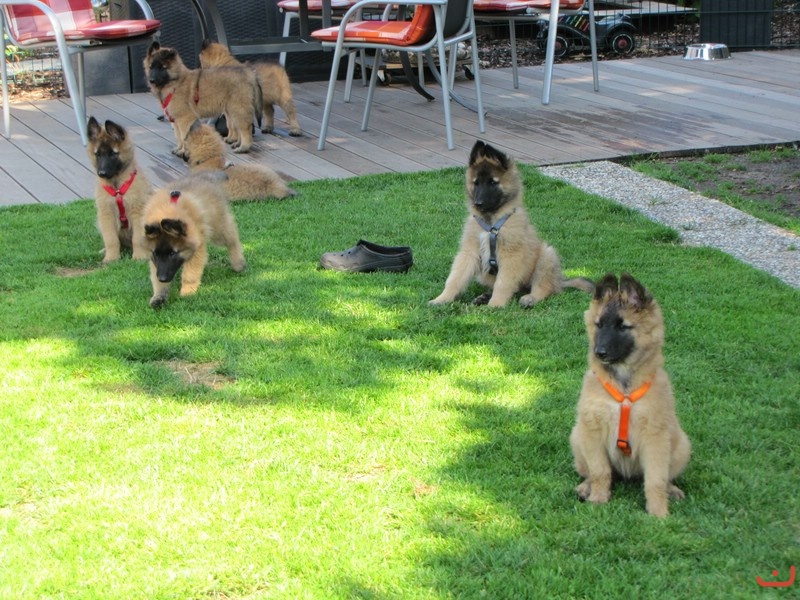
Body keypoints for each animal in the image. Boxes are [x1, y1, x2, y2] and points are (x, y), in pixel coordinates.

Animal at [87, 117, 153, 262]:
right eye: (98, 154)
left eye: (113, 153)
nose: (102, 173)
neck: (117, 187)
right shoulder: (106, 214)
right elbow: (111, 239)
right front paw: (111, 258)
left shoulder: (137, 212)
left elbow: (137, 239)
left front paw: (139, 257)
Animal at [142, 174, 246, 308]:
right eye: (156, 253)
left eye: (172, 253)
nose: (163, 278)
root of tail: (206, 177)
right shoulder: (155, 261)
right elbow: (156, 275)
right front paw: (159, 296)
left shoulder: (197, 248)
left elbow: (190, 273)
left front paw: (188, 291)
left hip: (218, 228)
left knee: (232, 238)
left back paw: (238, 262)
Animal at [430, 140, 593, 307]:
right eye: (476, 183)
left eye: (493, 182)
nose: (478, 203)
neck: (492, 221)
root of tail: (560, 281)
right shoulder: (470, 251)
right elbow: (455, 277)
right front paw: (442, 298)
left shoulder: (511, 254)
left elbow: (503, 283)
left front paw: (495, 305)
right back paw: (484, 297)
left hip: (546, 255)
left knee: (545, 287)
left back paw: (530, 298)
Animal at [570, 273, 691, 517]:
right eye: (599, 325)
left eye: (622, 327)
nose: (600, 352)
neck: (624, 385)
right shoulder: (592, 430)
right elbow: (599, 471)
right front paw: (598, 499)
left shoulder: (656, 437)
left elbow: (655, 479)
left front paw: (658, 513)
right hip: (577, 436)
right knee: (591, 472)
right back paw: (585, 487)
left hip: (681, 445)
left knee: (666, 478)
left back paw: (672, 490)